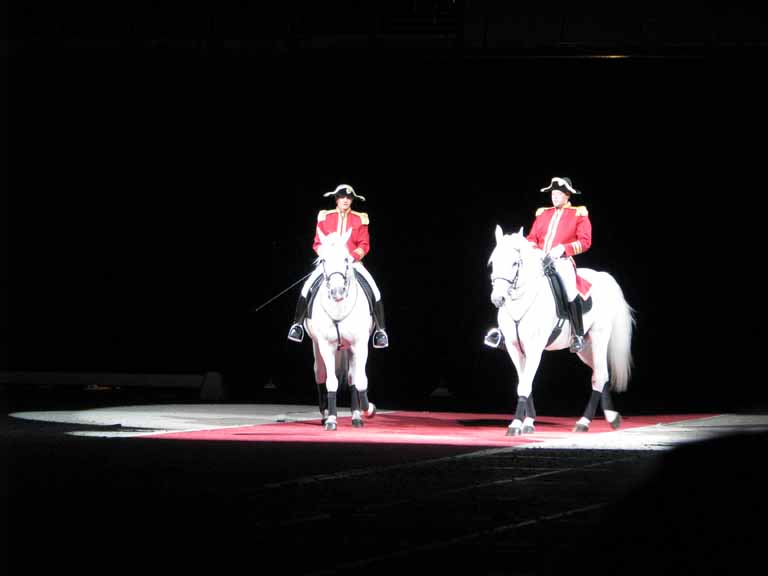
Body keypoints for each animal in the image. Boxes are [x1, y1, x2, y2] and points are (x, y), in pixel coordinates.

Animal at [306, 227, 378, 430]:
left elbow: (360, 380)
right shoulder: (326, 346)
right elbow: (331, 382)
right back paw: (325, 415)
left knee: (353, 378)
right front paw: (331, 419)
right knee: (320, 375)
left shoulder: (359, 345)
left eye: (346, 259)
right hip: (317, 347)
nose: (337, 292)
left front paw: (368, 409)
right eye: (323, 260)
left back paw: (356, 416)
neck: (339, 307)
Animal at [488, 225, 632, 436]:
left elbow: (525, 385)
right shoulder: (515, 348)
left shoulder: (535, 348)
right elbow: (524, 382)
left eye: (515, 263)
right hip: (585, 348)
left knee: (600, 376)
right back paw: (611, 417)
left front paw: (515, 425)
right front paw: (528, 422)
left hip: (600, 336)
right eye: (493, 262)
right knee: (600, 373)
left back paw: (584, 422)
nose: (498, 299)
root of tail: (603, 277)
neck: (522, 301)